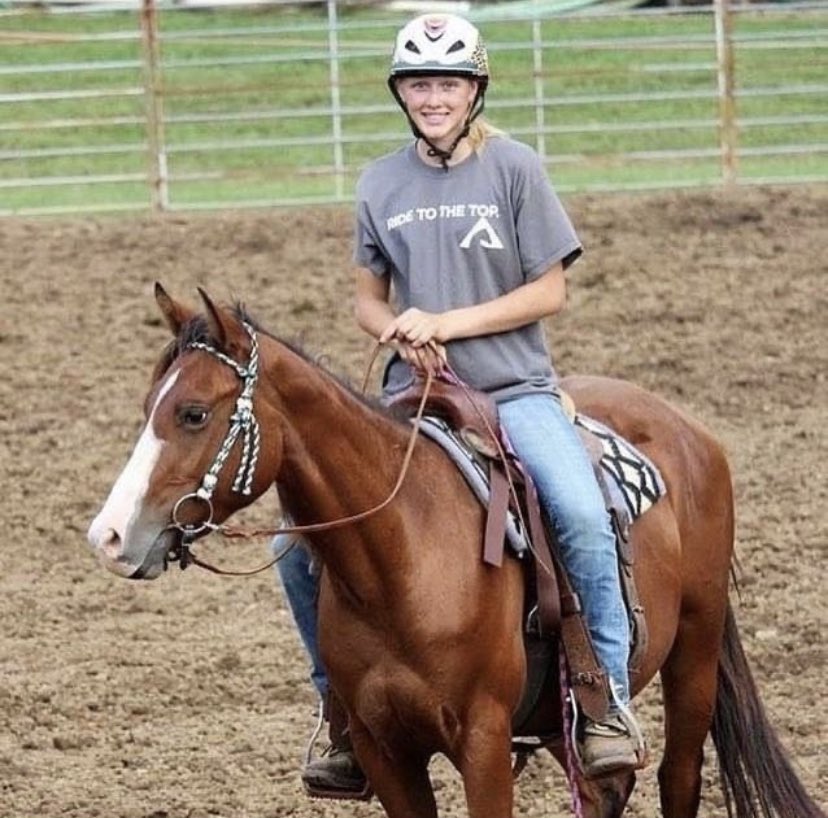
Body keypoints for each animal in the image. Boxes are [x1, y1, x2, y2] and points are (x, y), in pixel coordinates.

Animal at [88, 285, 824, 818]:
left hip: (694, 652)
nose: (109, 536)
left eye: (192, 413)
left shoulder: (484, 741)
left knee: (678, 775)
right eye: (148, 405)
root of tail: (690, 431)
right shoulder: (386, 752)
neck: (400, 559)